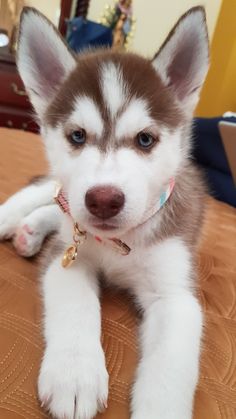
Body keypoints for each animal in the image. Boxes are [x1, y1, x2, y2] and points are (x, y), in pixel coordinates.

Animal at [0, 6, 208, 419]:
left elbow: (169, 369)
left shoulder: (176, 295)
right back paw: (15, 220)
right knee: (43, 193)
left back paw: (30, 232)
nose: (104, 199)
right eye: (77, 136)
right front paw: (75, 374)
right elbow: (78, 308)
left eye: (145, 139)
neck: (118, 244)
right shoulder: (67, 260)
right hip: (62, 188)